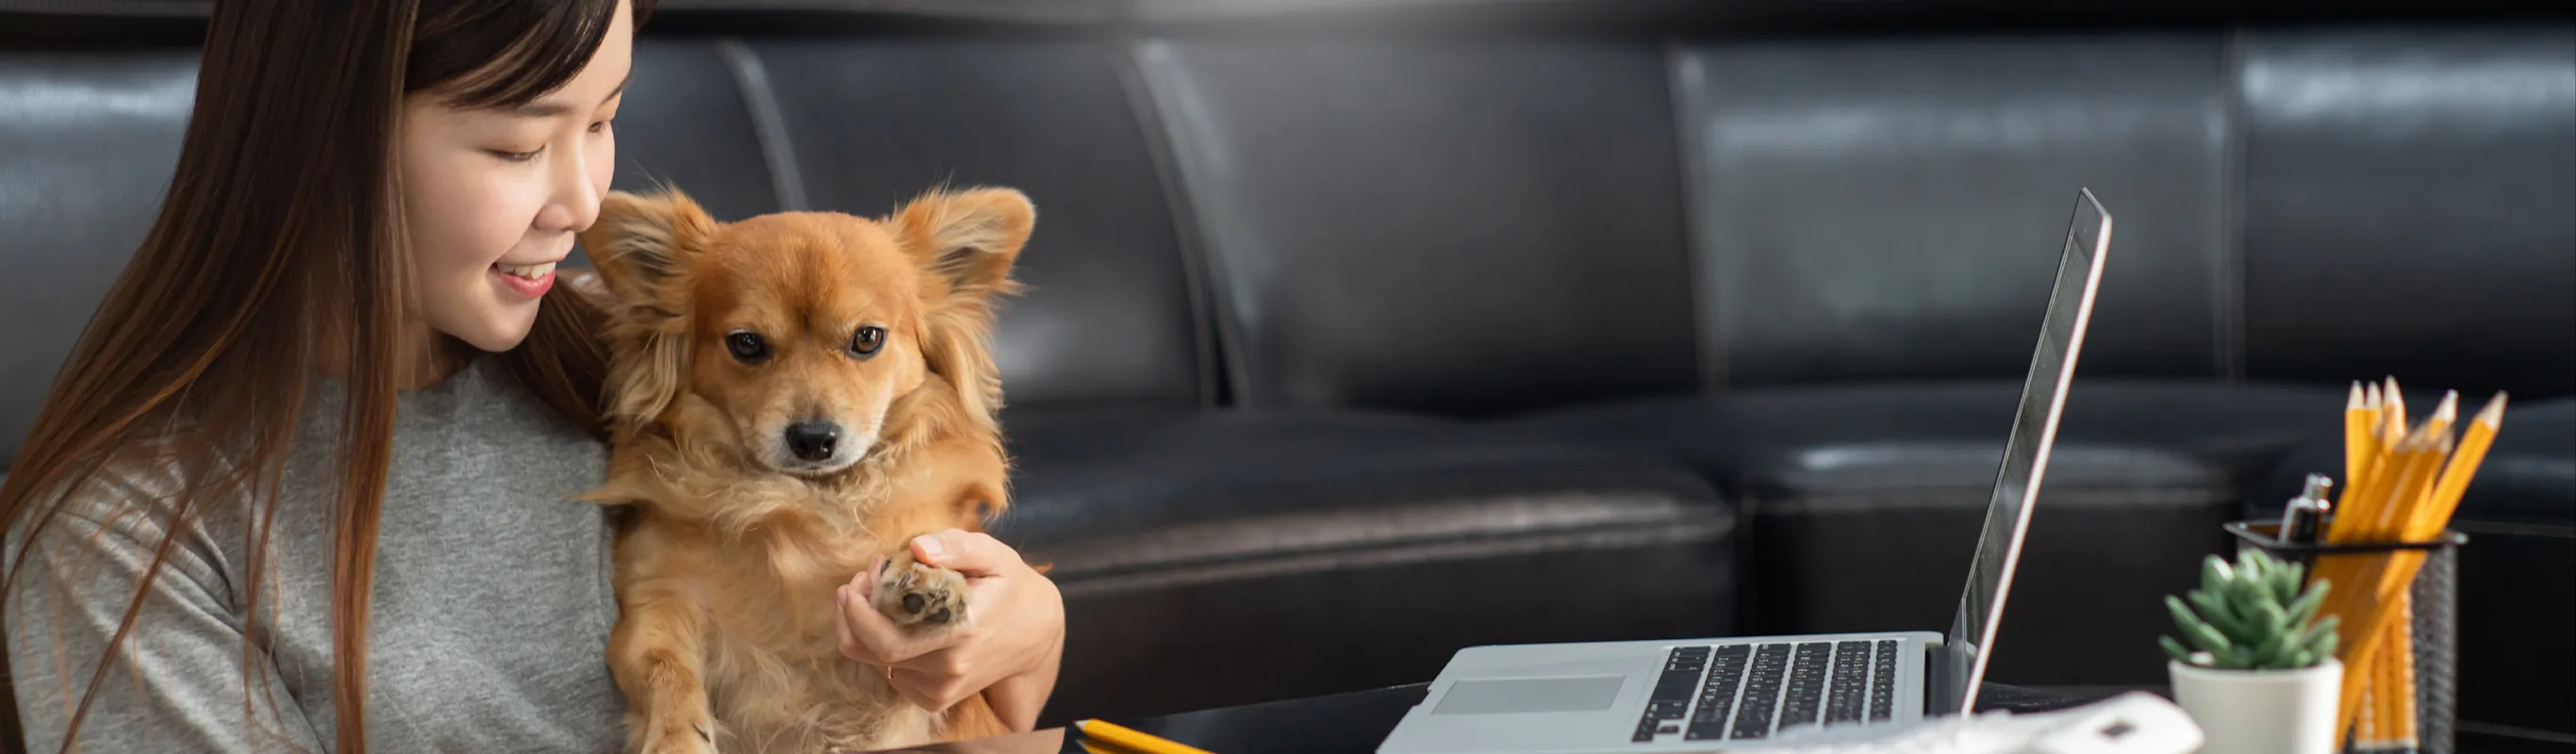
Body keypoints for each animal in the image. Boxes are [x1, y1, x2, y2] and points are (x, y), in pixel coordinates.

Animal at [576, 184, 1035, 751]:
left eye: (867, 338)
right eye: (746, 343)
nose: (814, 438)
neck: (804, 501)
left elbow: (915, 549)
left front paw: (928, 579)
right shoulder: (655, 598)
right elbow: (664, 666)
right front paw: (675, 737)